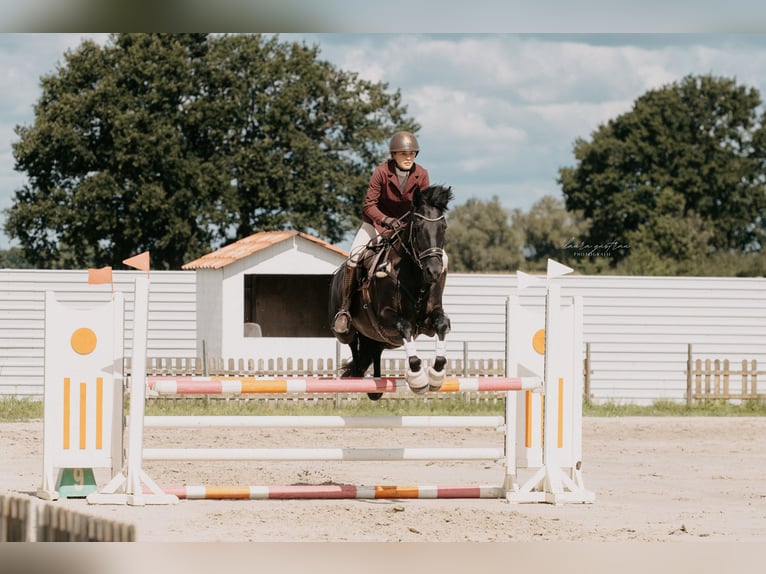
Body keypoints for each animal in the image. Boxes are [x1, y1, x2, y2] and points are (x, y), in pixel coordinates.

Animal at [328, 184, 454, 399]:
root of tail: (337, 274)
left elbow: (442, 325)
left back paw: (375, 387)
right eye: (418, 227)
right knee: (353, 343)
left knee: (372, 352)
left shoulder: (430, 319)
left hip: (382, 341)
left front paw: (436, 374)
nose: (435, 271)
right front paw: (417, 377)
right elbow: (405, 326)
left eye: (443, 227)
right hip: (348, 327)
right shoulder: (385, 317)